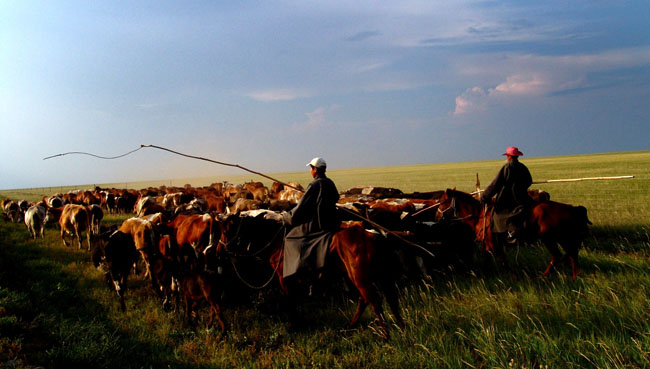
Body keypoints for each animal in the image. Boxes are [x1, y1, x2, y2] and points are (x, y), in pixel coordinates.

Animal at [216, 210, 400, 340]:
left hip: (360, 277)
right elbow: (295, 299)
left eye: (227, 230)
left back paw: (385, 335)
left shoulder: (284, 278)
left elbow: (290, 300)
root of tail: (374, 234)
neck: (277, 241)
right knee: (369, 299)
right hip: (361, 276)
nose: (218, 251)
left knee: (373, 301)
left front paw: (293, 324)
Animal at [432, 188, 588, 280]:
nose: (437, 217)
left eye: (443, 201)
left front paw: (513, 276)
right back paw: (573, 277)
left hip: (550, 240)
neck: (479, 214)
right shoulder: (487, 245)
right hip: (562, 239)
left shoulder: (493, 245)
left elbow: (502, 261)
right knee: (572, 255)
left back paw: (544, 276)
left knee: (558, 256)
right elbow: (488, 261)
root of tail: (571, 208)